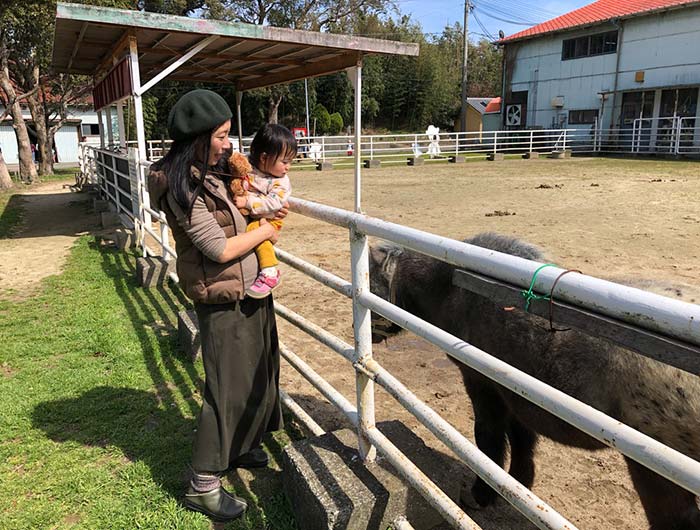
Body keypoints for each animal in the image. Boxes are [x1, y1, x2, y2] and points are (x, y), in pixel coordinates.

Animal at [366, 231, 700, 528]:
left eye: (370, 280)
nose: (366, 333)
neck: (455, 291)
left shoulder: (483, 386)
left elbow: (488, 439)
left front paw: (481, 494)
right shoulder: (516, 395)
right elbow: (522, 441)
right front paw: (517, 485)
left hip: (655, 477)